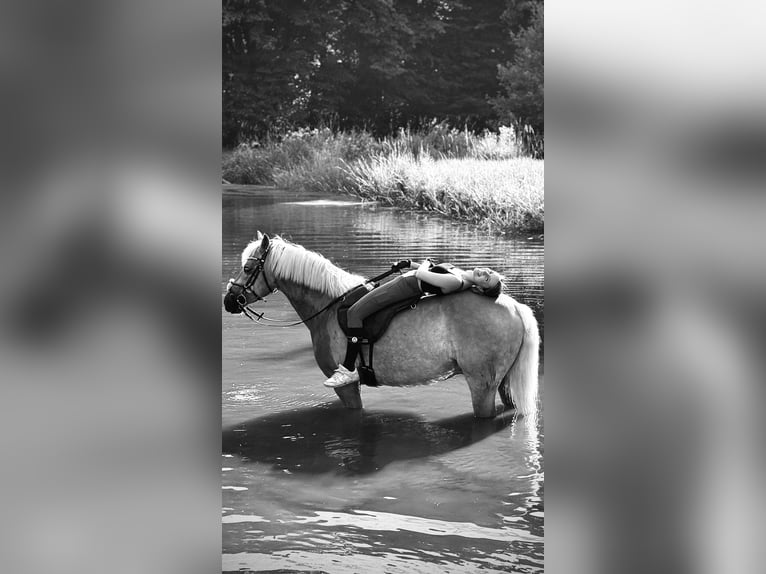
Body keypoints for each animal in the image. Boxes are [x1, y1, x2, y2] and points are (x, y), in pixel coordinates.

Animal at [223, 232, 539, 419]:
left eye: (249, 268)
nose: (230, 300)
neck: (329, 305)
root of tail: (515, 307)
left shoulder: (348, 389)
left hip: (482, 384)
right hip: (503, 382)